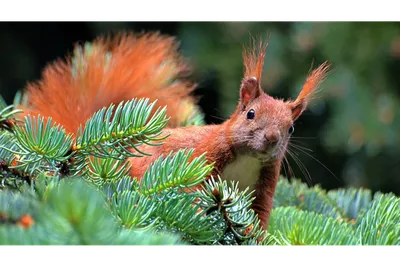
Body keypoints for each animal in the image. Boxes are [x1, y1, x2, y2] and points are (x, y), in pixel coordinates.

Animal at [18, 30, 328, 228]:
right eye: (250, 114)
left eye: (290, 129)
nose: (273, 138)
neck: (247, 160)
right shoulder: (205, 156)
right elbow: (192, 185)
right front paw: (197, 211)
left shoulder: (263, 190)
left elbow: (259, 219)